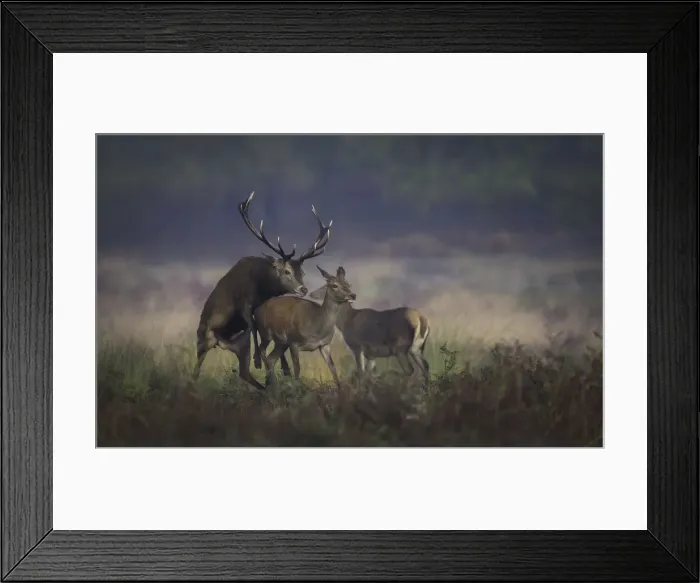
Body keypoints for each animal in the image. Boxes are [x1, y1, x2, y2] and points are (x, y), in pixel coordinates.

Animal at [193, 191, 332, 391]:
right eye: (286, 271)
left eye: (303, 272)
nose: (303, 288)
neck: (262, 288)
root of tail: (221, 343)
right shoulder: (243, 302)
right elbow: (253, 326)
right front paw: (259, 360)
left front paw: (284, 368)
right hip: (203, 339)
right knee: (197, 368)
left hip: (237, 344)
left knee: (243, 371)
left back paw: (265, 385)